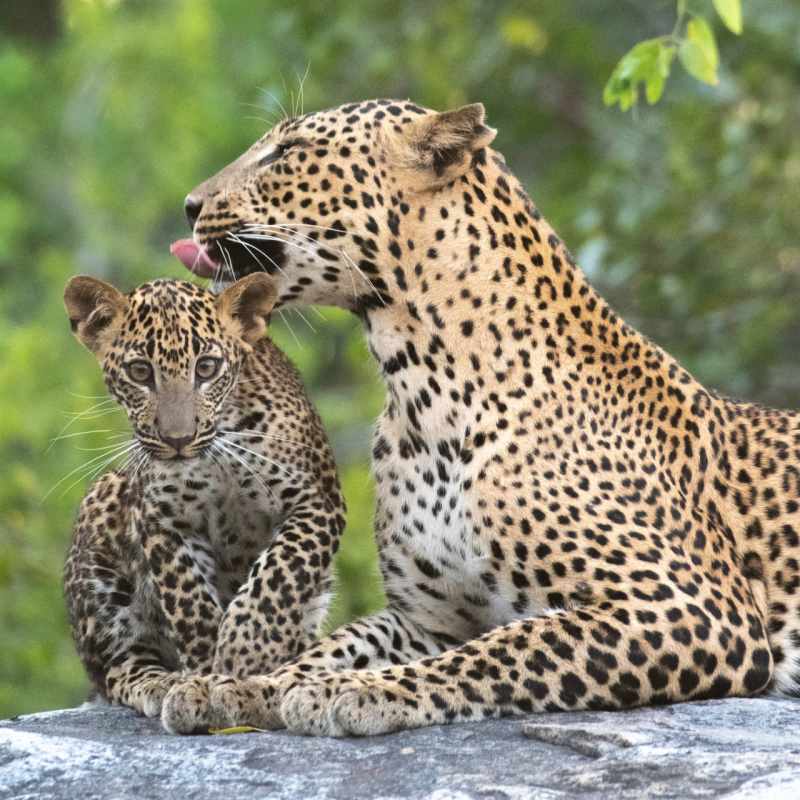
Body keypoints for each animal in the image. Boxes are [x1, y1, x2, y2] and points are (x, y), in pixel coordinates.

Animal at [62, 273, 345, 718]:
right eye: (140, 372)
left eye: (207, 368)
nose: (178, 440)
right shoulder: (162, 520)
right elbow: (190, 602)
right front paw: (205, 677)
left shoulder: (317, 501)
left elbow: (280, 571)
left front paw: (248, 648)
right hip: (103, 516)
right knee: (118, 668)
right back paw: (161, 683)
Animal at [161, 98, 797, 737]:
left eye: (287, 152)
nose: (190, 205)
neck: (420, 390)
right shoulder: (430, 618)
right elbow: (338, 644)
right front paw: (237, 686)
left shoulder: (694, 608)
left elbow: (505, 651)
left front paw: (350, 690)